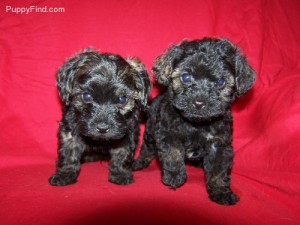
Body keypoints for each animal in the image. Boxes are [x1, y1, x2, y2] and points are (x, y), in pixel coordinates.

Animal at [48, 49, 150, 186]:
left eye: (122, 99)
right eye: (86, 96)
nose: (102, 128)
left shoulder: (128, 131)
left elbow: (122, 153)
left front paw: (120, 173)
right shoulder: (70, 129)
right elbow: (68, 152)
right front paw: (64, 174)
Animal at [134, 37, 255, 205]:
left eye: (220, 82)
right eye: (185, 77)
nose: (199, 102)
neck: (196, 124)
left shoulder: (220, 144)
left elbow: (218, 170)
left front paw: (221, 192)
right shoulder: (167, 133)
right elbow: (173, 153)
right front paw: (174, 176)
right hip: (151, 130)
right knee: (147, 147)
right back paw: (139, 162)